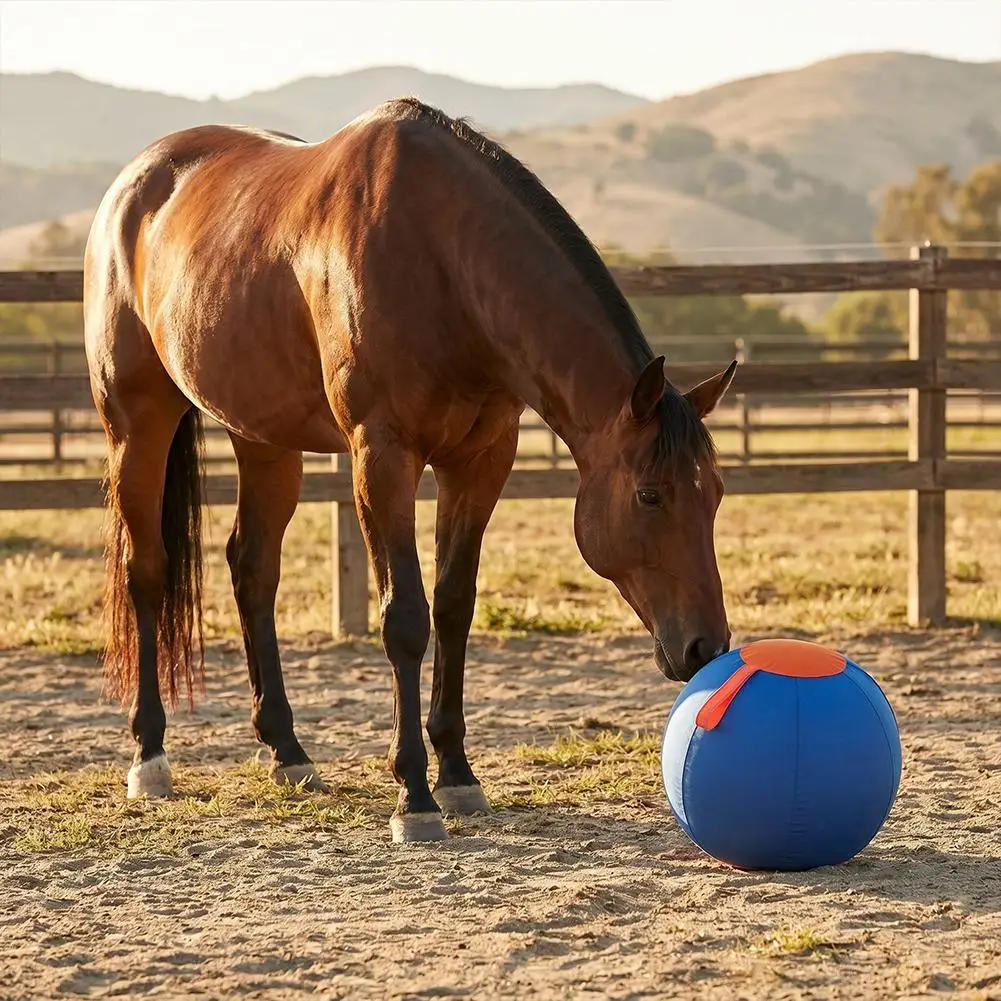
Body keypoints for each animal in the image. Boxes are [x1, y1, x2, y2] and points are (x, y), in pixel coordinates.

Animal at [83, 98, 736, 843]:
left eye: (714, 495)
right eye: (650, 495)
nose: (706, 647)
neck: (442, 263)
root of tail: (135, 184)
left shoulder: (479, 461)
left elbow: (453, 606)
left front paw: (456, 774)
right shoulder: (383, 455)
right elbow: (404, 617)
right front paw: (414, 797)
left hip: (265, 440)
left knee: (253, 569)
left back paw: (287, 752)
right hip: (137, 422)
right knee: (146, 571)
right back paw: (149, 758)